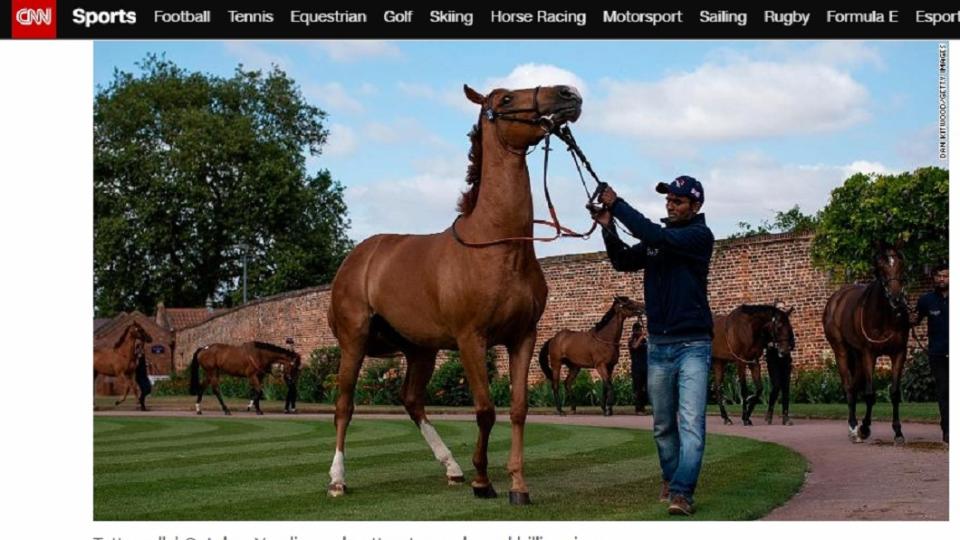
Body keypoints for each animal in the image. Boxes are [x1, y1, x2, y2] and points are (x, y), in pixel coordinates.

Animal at [326, 82, 580, 504]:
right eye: (506, 99)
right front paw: (483, 480)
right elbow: (485, 410)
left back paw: (452, 467)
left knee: (412, 400)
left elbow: (518, 409)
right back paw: (337, 478)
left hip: (421, 350)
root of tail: (358, 256)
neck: (497, 246)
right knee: (344, 404)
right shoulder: (470, 339)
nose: (567, 93)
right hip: (354, 341)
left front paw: (517, 485)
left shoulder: (522, 337)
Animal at [824, 240, 908, 442]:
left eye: (901, 263)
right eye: (879, 266)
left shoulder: (899, 353)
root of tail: (835, 299)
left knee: (855, 385)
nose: (896, 298)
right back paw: (854, 427)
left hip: (857, 355)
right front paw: (864, 428)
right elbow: (869, 393)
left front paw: (898, 432)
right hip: (841, 350)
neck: (885, 317)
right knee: (848, 385)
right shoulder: (869, 354)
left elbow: (894, 393)